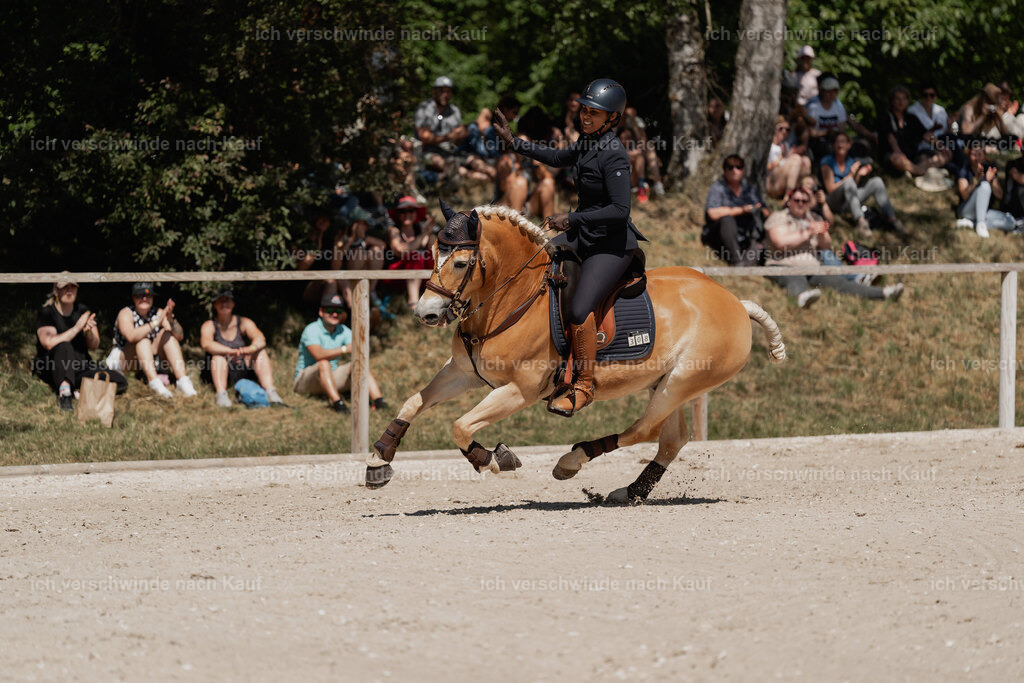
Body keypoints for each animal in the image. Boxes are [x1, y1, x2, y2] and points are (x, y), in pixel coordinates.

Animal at [364, 202, 786, 503]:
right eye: (432, 252)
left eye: (462, 262)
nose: (426, 313)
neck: (512, 298)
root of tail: (736, 302)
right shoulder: (462, 372)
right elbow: (413, 402)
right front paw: (379, 459)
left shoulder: (520, 390)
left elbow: (460, 426)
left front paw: (495, 459)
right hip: (666, 383)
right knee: (671, 439)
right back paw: (631, 492)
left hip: (683, 381)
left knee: (644, 430)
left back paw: (572, 461)